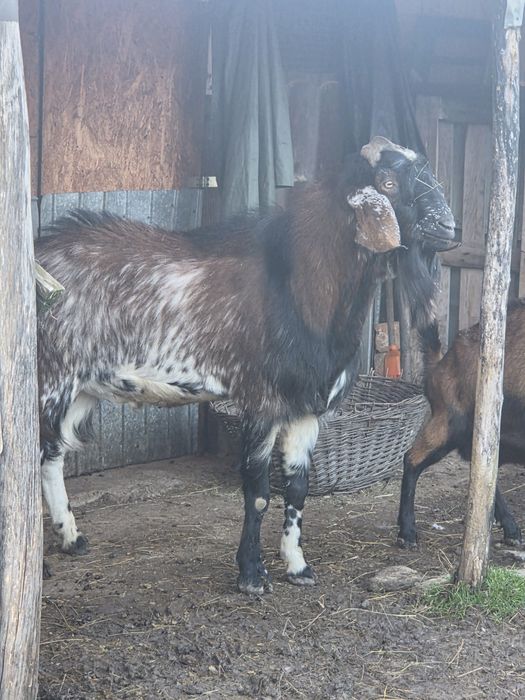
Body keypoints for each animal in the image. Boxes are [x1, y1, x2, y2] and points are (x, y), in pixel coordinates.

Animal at [36, 136, 456, 595]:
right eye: (388, 183)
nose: (449, 226)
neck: (302, 285)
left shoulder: (305, 408)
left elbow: (297, 489)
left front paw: (298, 567)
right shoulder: (262, 402)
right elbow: (258, 493)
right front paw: (252, 575)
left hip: (82, 386)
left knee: (52, 455)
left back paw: (72, 539)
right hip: (49, 376)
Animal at [397, 300, 525, 549]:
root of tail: (441, 363)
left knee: (485, 470)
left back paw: (511, 529)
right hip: (449, 423)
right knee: (412, 459)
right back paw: (406, 533)